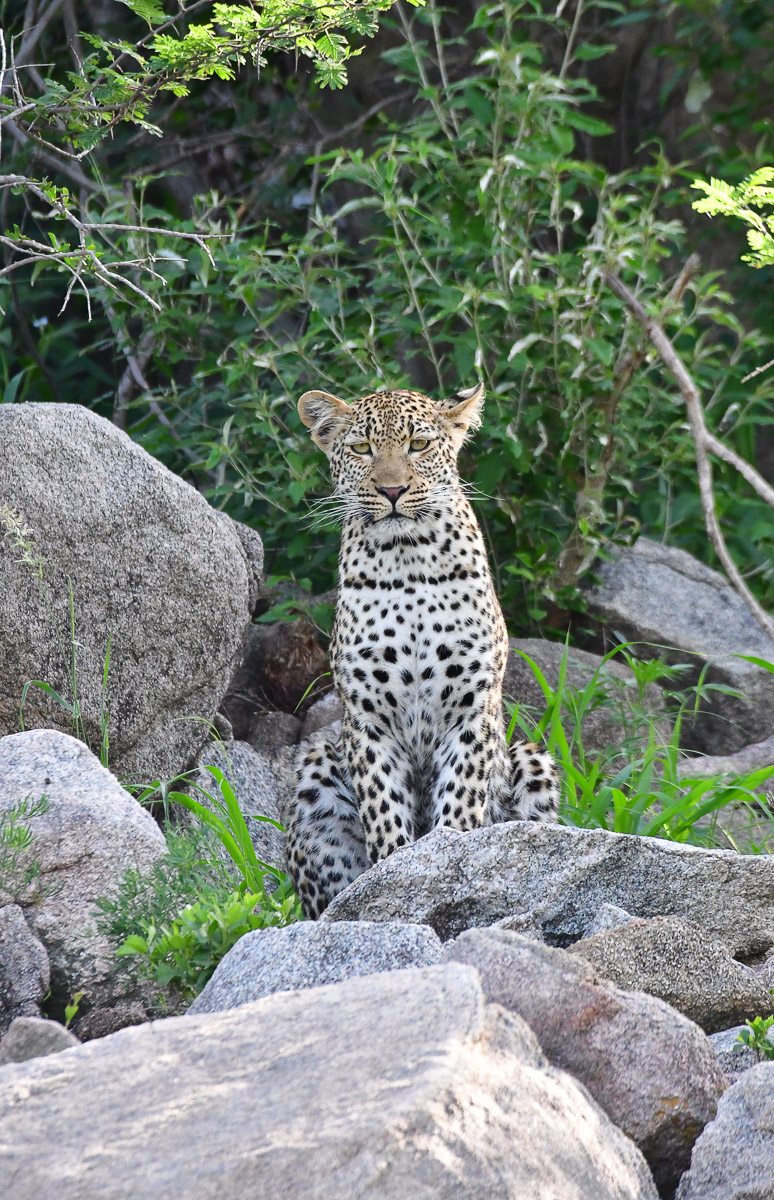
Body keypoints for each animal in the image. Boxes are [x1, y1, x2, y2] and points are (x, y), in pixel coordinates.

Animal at [283, 383, 559, 918]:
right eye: (362, 449)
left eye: (419, 445)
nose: (392, 491)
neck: (407, 560)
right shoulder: (367, 720)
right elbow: (384, 809)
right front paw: (394, 877)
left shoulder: (472, 709)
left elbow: (459, 801)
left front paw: (440, 864)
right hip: (317, 765)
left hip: (531, 761)